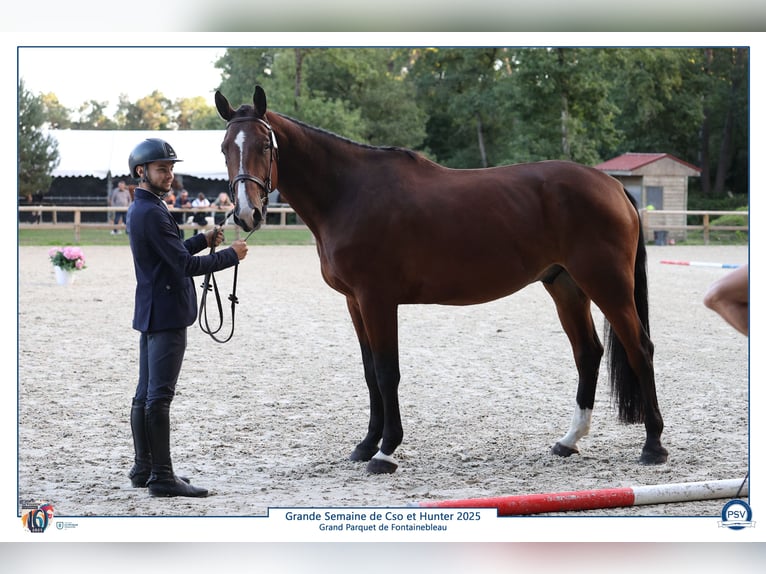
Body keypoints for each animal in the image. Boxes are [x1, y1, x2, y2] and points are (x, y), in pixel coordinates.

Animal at [214, 85, 668, 474]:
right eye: (224, 148)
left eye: (265, 145)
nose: (247, 213)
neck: (349, 193)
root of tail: (612, 185)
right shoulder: (355, 302)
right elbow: (369, 372)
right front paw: (365, 445)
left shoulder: (377, 300)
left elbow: (387, 372)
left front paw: (385, 452)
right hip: (566, 286)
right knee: (588, 353)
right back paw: (569, 441)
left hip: (607, 285)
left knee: (640, 348)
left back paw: (653, 446)